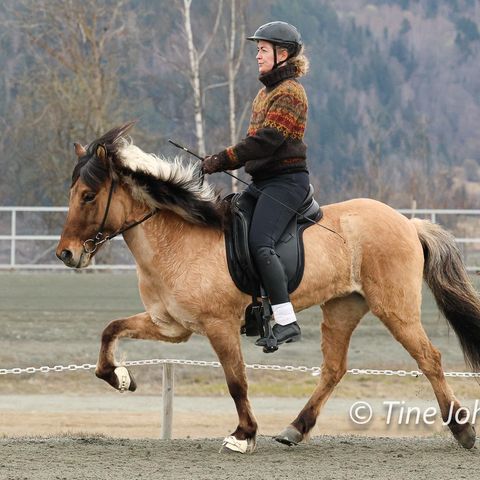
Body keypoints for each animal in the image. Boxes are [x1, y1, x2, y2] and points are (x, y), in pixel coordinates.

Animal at [55, 122, 480, 452]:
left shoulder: (220, 326)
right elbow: (110, 329)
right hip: (343, 307)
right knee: (334, 369)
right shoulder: (170, 326)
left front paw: (243, 435)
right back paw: (295, 429)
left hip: (396, 309)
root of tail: (408, 222)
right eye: (71, 194)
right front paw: (119, 377)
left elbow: (236, 382)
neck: (178, 239)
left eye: (89, 195)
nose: (66, 254)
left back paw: (461, 429)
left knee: (429, 359)